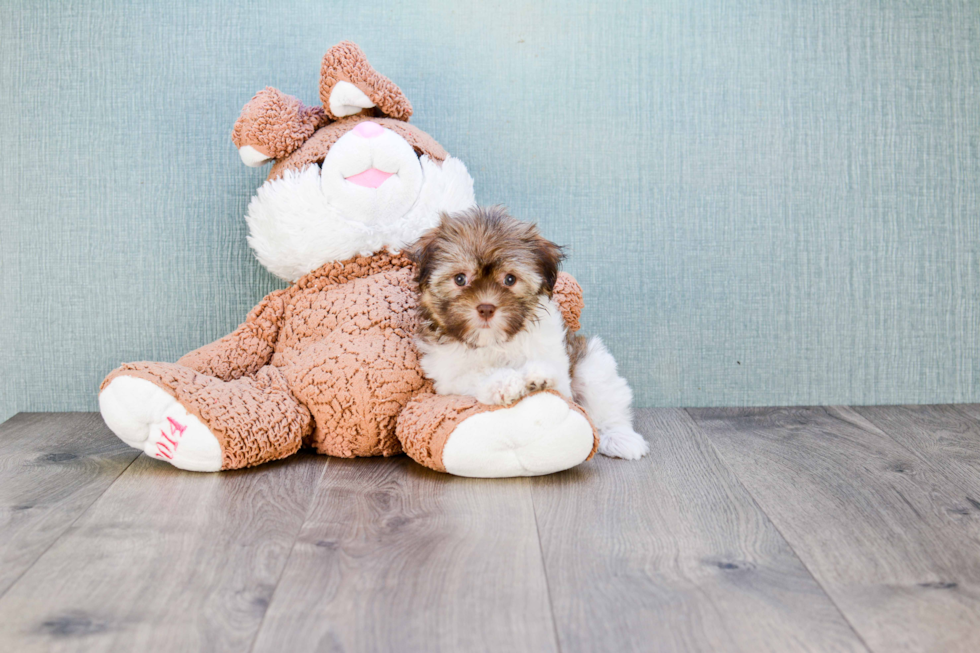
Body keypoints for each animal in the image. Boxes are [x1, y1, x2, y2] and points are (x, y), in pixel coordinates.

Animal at [414, 205, 652, 458]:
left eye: (510, 279)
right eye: (460, 279)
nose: (486, 308)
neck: (494, 343)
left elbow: (553, 376)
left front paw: (537, 377)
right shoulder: (448, 376)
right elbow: (476, 374)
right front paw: (505, 382)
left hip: (593, 364)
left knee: (606, 399)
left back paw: (621, 438)